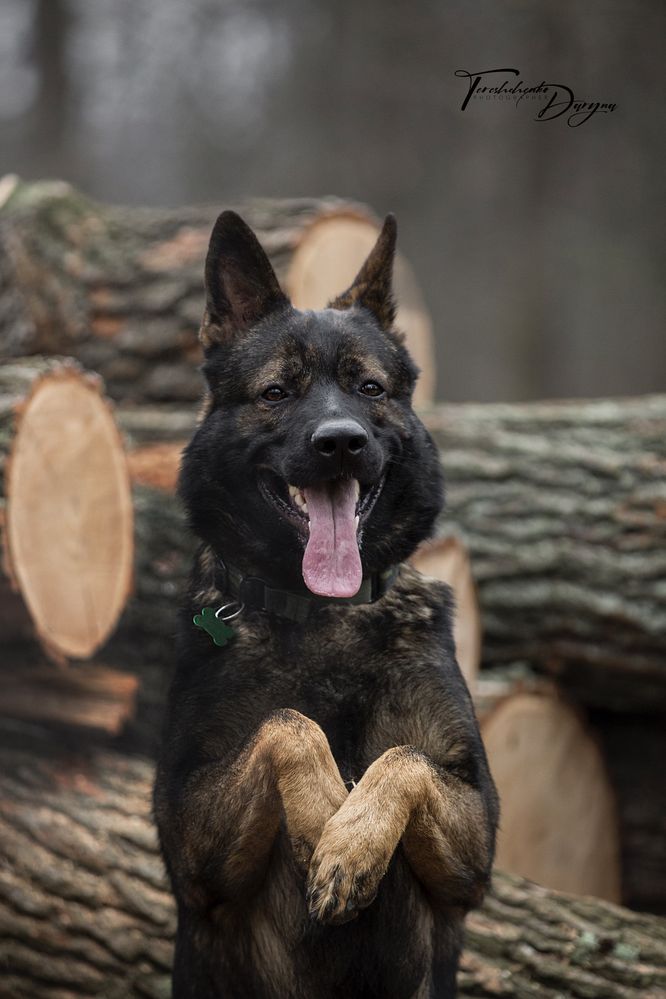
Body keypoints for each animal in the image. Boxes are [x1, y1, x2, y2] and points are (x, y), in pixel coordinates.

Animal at [154, 207, 498, 996]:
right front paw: (321, 828)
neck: (325, 614)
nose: (340, 442)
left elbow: (404, 756)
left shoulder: (473, 846)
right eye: (276, 393)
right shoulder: (188, 835)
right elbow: (287, 722)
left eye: (368, 388)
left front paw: (349, 843)